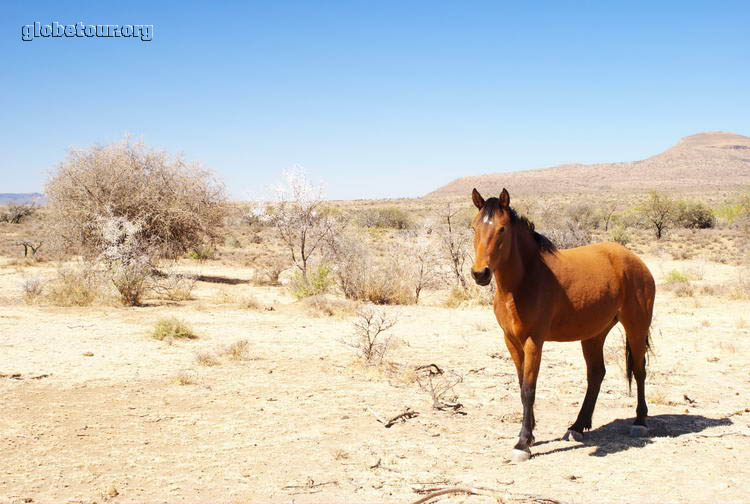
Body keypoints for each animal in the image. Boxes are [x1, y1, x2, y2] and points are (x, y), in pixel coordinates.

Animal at [472, 188, 656, 460]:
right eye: (474, 227)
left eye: (502, 229)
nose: (480, 273)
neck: (524, 281)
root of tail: (636, 260)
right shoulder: (511, 341)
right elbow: (521, 385)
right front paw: (531, 435)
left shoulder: (534, 341)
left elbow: (529, 390)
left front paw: (523, 443)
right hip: (594, 334)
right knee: (596, 374)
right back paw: (577, 426)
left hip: (636, 326)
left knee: (639, 370)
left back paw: (640, 422)